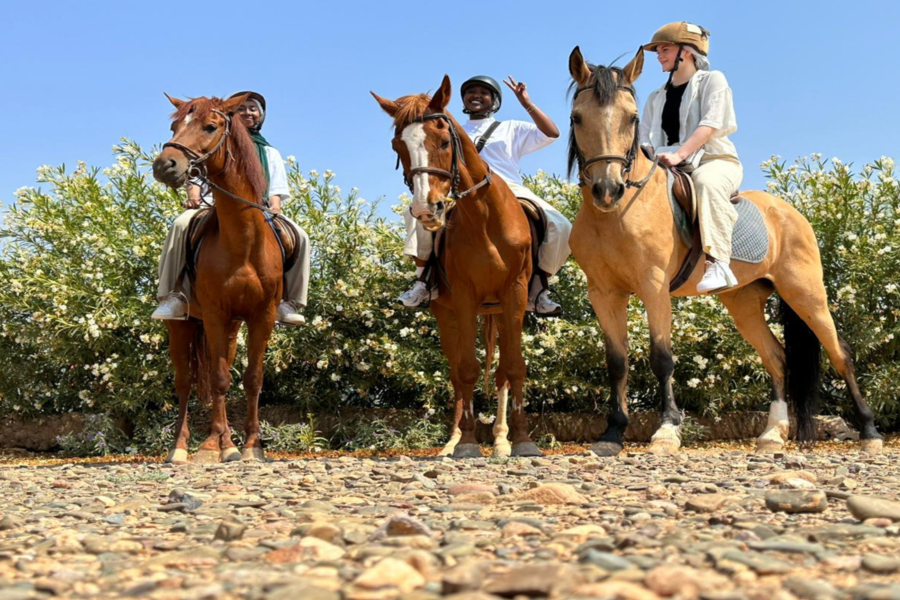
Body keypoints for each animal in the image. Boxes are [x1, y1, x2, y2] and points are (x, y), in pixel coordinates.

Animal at [152, 94, 284, 463]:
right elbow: (219, 379)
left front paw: (251, 446)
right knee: (185, 382)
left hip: (231, 327)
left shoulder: (261, 316)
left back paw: (229, 441)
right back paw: (183, 447)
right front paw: (212, 446)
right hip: (182, 326)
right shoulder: (212, 314)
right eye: (174, 126)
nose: (164, 165)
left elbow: (253, 379)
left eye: (210, 127)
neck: (243, 242)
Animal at [372, 75, 541, 458]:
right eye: (397, 146)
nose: (426, 210)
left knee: (500, 373)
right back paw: (452, 441)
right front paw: (465, 443)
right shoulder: (463, 298)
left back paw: (501, 439)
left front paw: (522, 440)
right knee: (455, 372)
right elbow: (466, 369)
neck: (484, 216)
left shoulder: (514, 294)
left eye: (445, 141)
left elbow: (514, 366)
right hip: (447, 313)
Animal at [565, 47, 882, 456]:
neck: (616, 215)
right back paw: (772, 434)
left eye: (631, 118)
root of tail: (792, 212)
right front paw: (612, 433)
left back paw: (869, 431)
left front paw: (667, 430)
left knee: (839, 352)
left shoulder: (653, 287)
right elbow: (617, 361)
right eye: (577, 117)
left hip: (806, 293)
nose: (608, 190)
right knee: (776, 358)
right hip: (744, 302)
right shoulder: (604, 293)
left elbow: (662, 358)